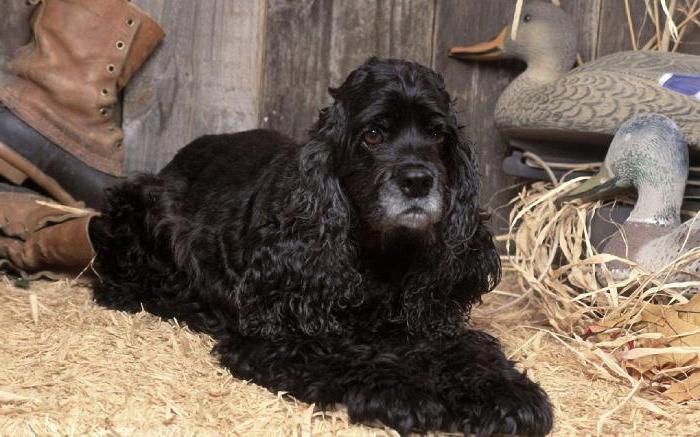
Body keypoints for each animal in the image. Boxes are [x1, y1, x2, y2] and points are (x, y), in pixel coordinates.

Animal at [91, 57, 552, 432]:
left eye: (438, 134)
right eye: (373, 134)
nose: (418, 181)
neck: (382, 258)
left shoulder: (429, 318)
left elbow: (470, 349)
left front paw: (505, 393)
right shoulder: (279, 337)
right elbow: (351, 356)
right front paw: (411, 392)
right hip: (131, 214)